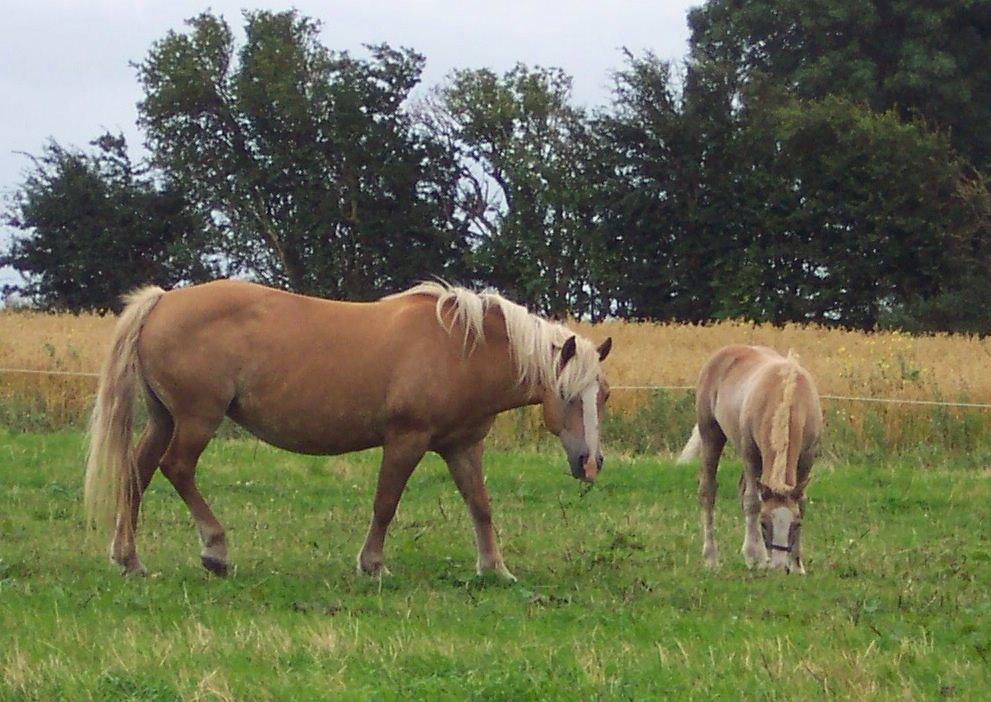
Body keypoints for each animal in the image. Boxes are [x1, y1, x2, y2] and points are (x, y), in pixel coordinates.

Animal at [85, 280, 612, 584]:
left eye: (602, 395)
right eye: (568, 394)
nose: (590, 463)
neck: (463, 347)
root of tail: (161, 302)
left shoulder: (462, 446)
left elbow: (480, 507)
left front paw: (495, 569)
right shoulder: (406, 440)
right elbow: (385, 503)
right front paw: (372, 564)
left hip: (164, 419)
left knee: (137, 475)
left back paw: (129, 560)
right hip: (197, 419)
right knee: (176, 469)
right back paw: (214, 550)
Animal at [680, 344, 824, 576]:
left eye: (796, 524)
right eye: (765, 523)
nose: (779, 567)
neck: (787, 396)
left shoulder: (807, 456)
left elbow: (800, 502)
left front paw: (797, 564)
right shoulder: (750, 454)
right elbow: (752, 502)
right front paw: (752, 556)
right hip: (711, 434)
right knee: (708, 491)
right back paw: (712, 558)